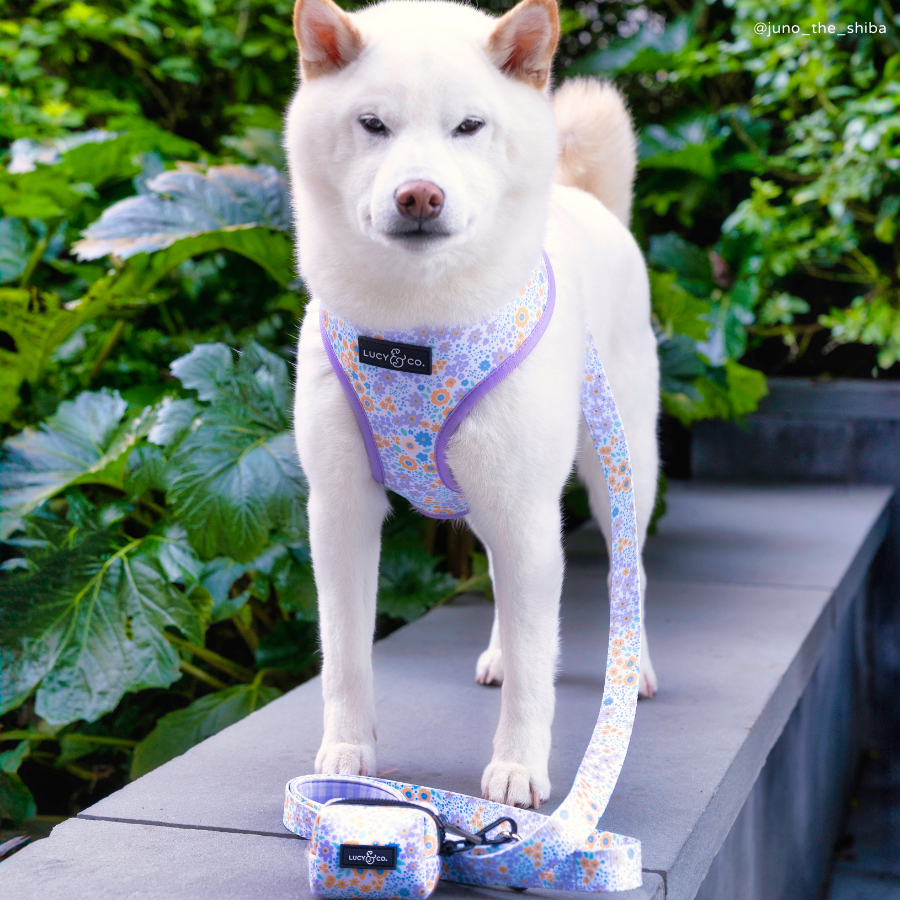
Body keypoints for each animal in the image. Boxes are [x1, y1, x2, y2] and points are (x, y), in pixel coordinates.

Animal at [288, 0, 660, 808]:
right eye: (372, 124)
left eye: (469, 126)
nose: (419, 195)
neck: (413, 328)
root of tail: (588, 200)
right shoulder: (339, 509)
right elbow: (344, 655)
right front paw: (345, 754)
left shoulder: (527, 508)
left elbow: (535, 672)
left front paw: (519, 768)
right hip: (493, 498)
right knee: (503, 582)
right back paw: (497, 650)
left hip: (620, 467)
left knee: (629, 570)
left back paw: (637, 667)